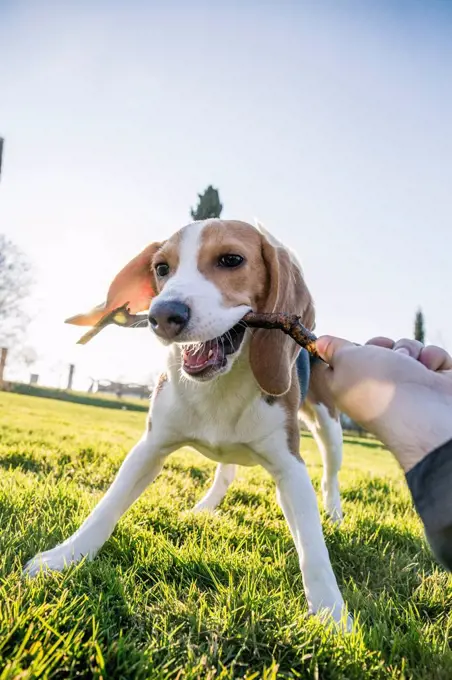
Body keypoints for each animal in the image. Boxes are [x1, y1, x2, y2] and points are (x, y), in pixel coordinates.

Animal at [25, 220, 350, 628]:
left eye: (231, 260)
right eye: (162, 268)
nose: (162, 315)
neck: (219, 385)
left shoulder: (290, 468)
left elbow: (312, 546)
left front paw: (331, 613)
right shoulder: (149, 447)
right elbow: (107, 506)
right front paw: (65, 556)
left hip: (329, 427)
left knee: (330, 477)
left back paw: (335, 515)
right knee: (226, 472)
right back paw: (204, 508)